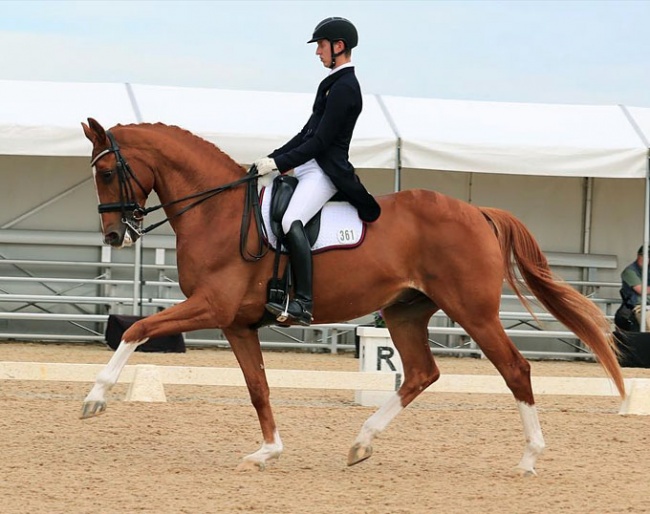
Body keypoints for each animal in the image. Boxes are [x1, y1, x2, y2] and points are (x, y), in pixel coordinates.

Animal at [79, 116, 624, 472]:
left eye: (105, 172)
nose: (114, 236)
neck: (219, 211)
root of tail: (478, 212)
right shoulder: (236, 322)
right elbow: (258, 387)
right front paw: (268, 452)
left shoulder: (212, 307)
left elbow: (138, 328)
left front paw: (95, 399)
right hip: (405, 311)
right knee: (421, 373)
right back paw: (361, 443)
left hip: (473, 311)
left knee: (515, 370)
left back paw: (530, 457)